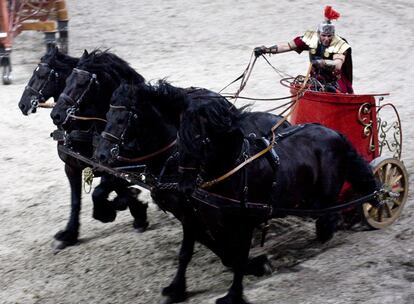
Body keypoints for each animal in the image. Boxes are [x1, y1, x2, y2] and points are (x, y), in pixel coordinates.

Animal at [19, 48, 149, 251]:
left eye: (42, 75)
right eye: (67, 82)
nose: (23, 104)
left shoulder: (117, 169)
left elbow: (101, 192)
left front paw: (114, 211)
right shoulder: (72, 167)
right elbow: (75, 201)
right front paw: (69, 234)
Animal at [94, 81, 292, 304]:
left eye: (122, 119)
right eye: (107, 115)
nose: (100, 155)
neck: (172, 158)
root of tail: (280, 122)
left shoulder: (194, 211)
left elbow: (193, 248)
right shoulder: (186, 213)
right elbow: (198, 246)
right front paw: (177, 288)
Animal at [178, 99, 378, 302]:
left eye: (197, 137)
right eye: (179, 137)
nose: (182, 185)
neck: (236, 168)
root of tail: (334, 133)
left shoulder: (244, 224)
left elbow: (239, 257)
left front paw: (234, 294)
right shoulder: (213, 223)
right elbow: (224, 252)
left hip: (326, 193)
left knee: (331, 214)